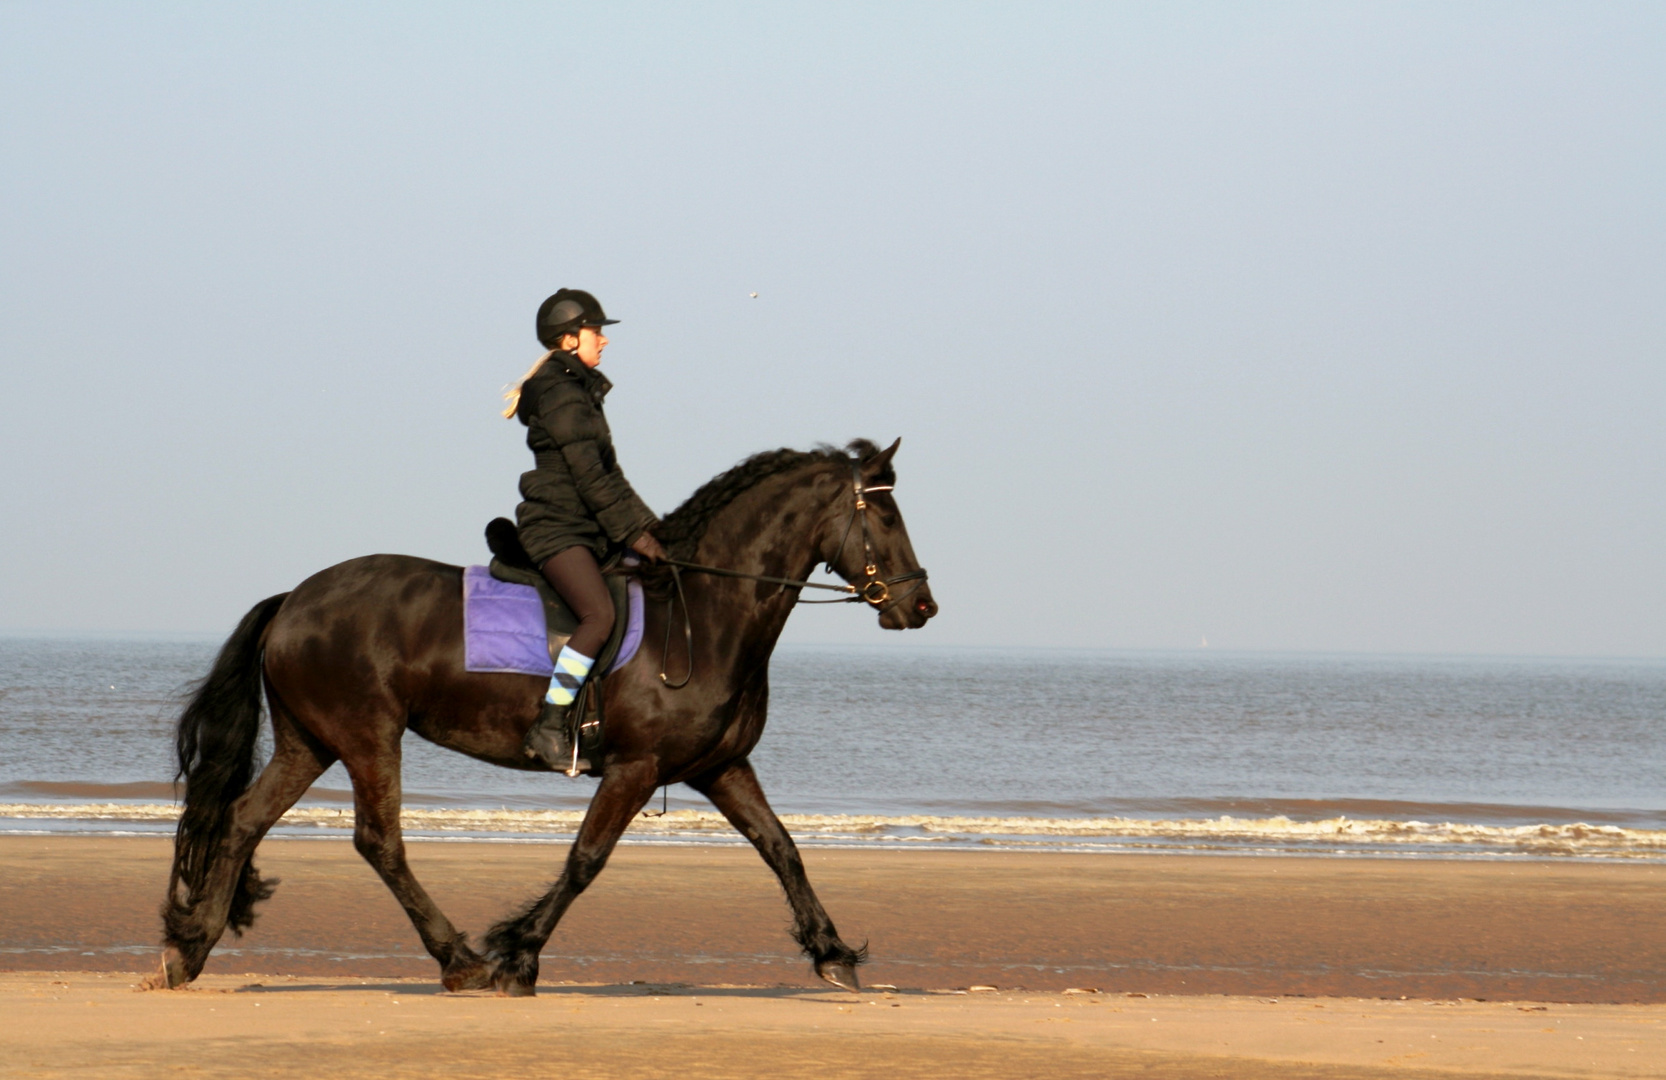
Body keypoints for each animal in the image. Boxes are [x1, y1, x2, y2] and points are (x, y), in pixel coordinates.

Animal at [143, 440, 939, 993]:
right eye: (886, 514)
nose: (922, 605)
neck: (706, 615)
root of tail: (294, 601)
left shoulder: (720, 767)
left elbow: (782, 848)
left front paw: (833, 953)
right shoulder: (635, 768)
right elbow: (585, 859)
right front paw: (517, 956)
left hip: (310, 741)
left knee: (242, 820)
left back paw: (191, 947)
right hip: (367, 735)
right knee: (378, 842)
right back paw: (459, 959)